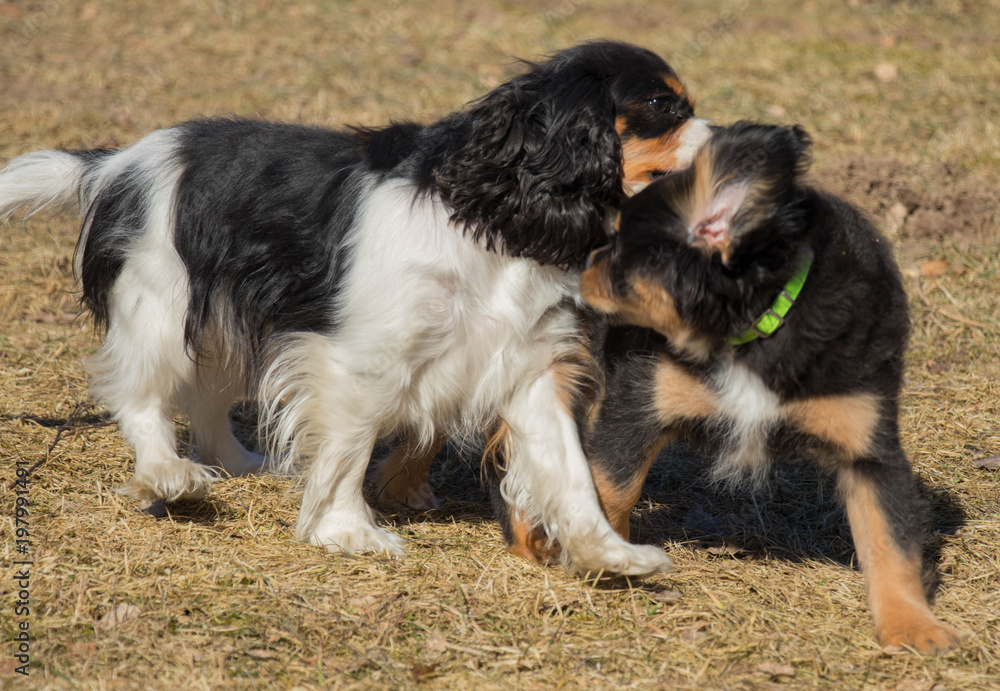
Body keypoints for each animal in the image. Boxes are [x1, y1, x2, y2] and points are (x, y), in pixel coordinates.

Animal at [0, 40, 712, 576]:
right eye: (661, 107)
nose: (730, 138)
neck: (493, 214)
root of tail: (117, 162)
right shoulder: (358, 357)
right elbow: (350, 445)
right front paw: (346, 530)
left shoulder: (529, 365)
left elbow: (569, 468)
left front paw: (608, 552)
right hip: (160, 306)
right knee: (141, 397)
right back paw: (168, 473)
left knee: (207, 397)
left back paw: (239, 464)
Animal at [580, 123, 960, 656]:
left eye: (617, 250)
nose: (585, 263)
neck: (756, 325)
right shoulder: (636, 405)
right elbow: (613, 487)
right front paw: (606, 559)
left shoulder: (870, 445)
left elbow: (892, 538)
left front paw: (912, 627)